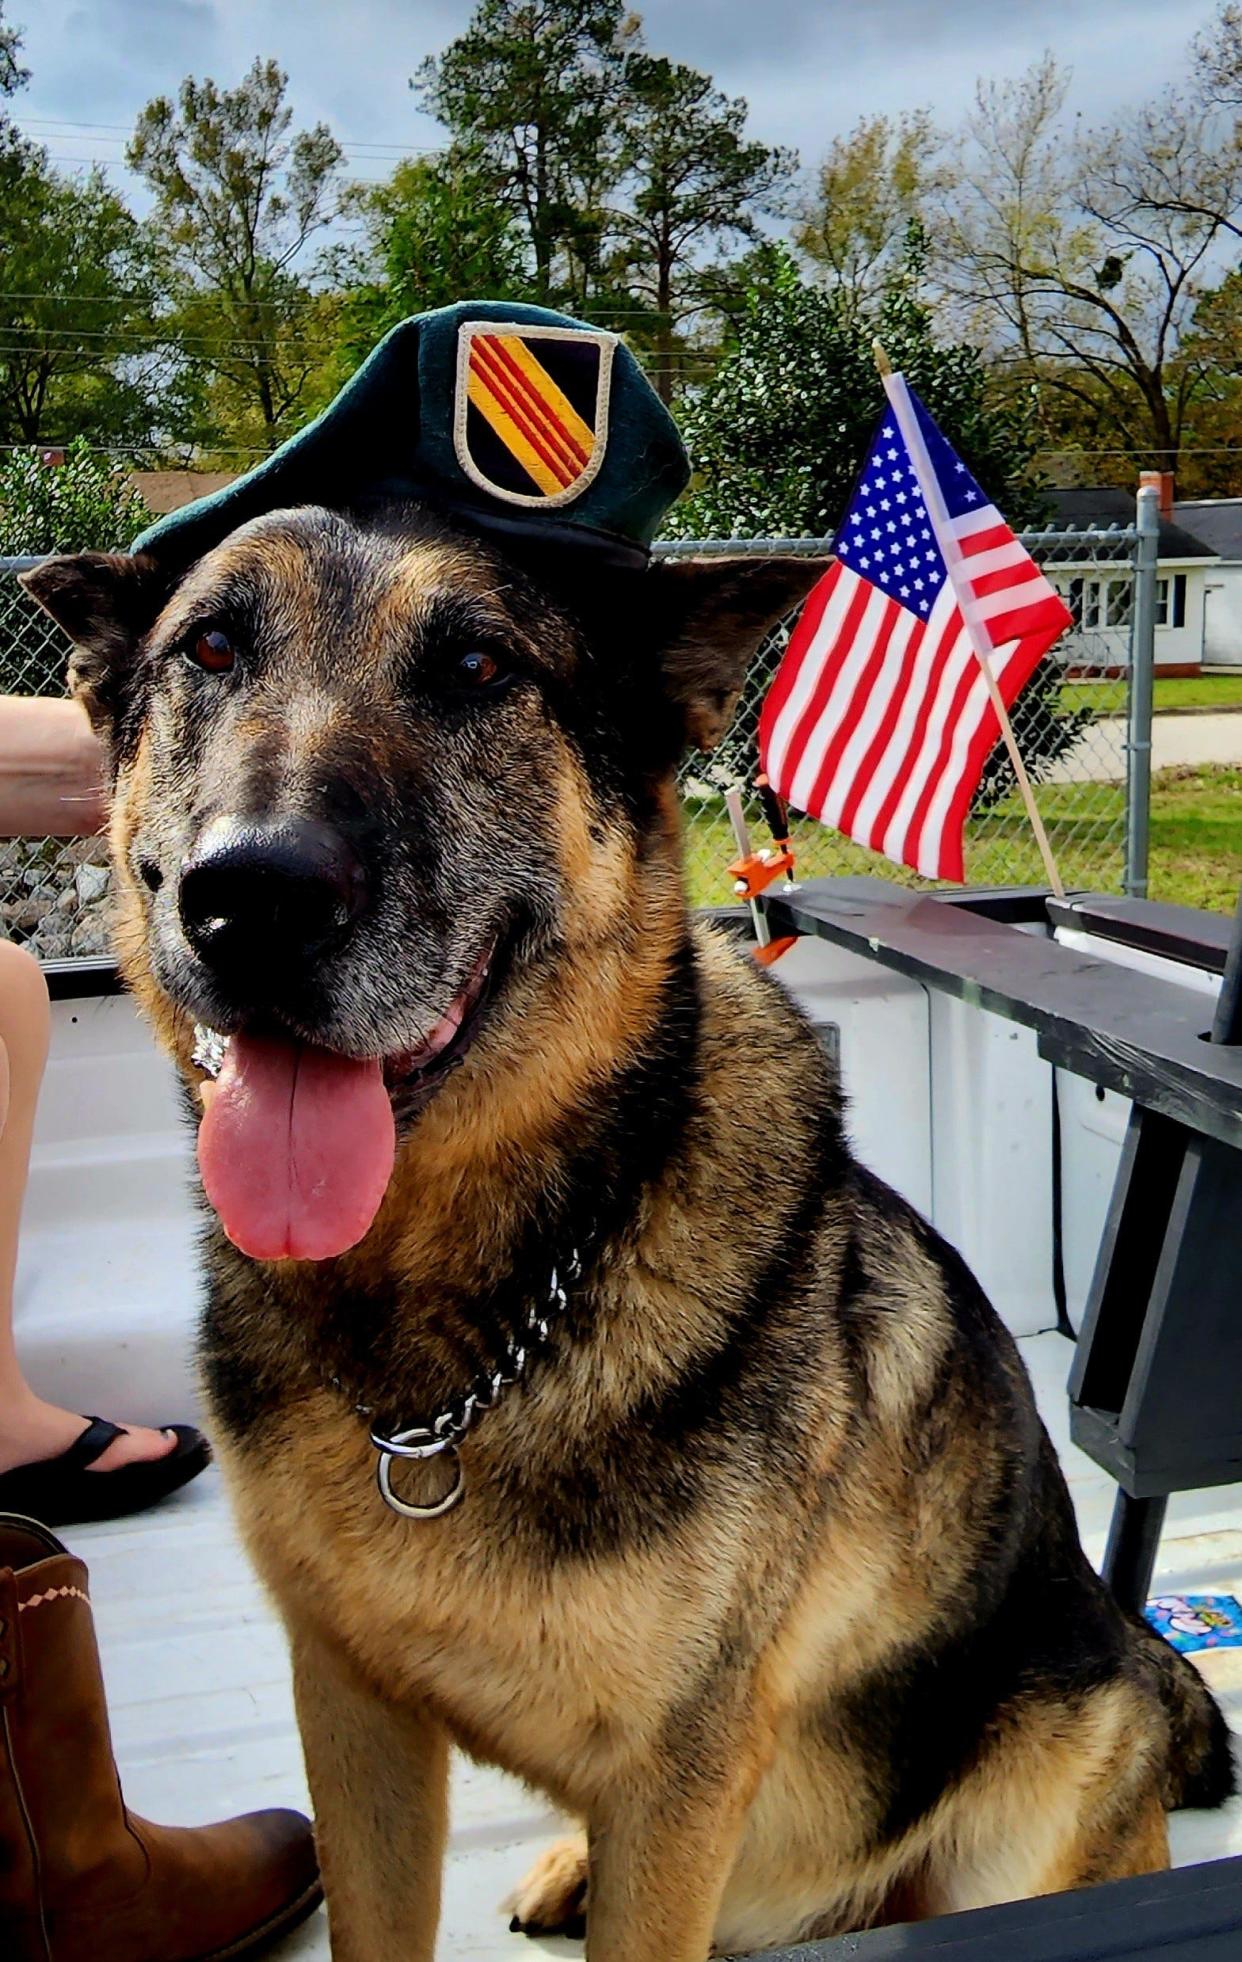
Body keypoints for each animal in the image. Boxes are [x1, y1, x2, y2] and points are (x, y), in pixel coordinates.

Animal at [24, 510, 1232, 1962]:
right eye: (210, 646)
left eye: (478, 666)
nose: (252, 898)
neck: (465, 1348)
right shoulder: (354, 1711)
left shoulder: (677, 1776)